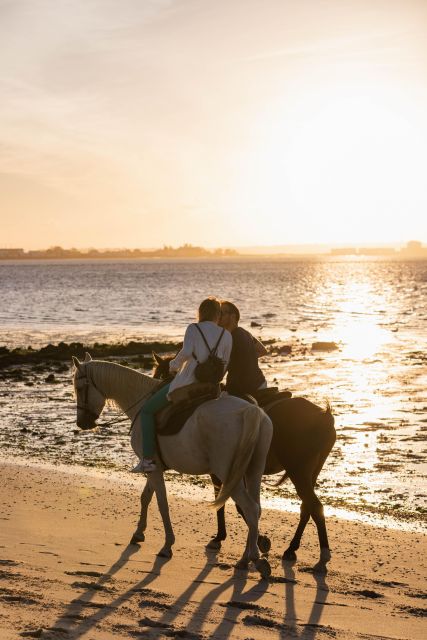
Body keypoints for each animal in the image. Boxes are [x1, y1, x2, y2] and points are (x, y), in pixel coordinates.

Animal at [72, 356, 274, 580]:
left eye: (79, 388)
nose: (82, 423)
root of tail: (250, 410)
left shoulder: (154, 469)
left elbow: (161, 504)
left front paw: (167, 545)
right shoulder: (153, 467)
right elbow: (146, 497)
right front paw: (139, 533)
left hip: (229, 474)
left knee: (249, 508)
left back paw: (253, 558)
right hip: (252, 471)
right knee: (256, 508)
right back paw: (247, 558)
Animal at [152, 352, 336, 564]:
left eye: (159, 376)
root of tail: (324, 415)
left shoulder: (222, 472)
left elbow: (230, 503)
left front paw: (245, 540)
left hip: (298, 470)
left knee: (314, 506)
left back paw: (322, 553)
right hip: (311, 471)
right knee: (307, 507)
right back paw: (292, 548)